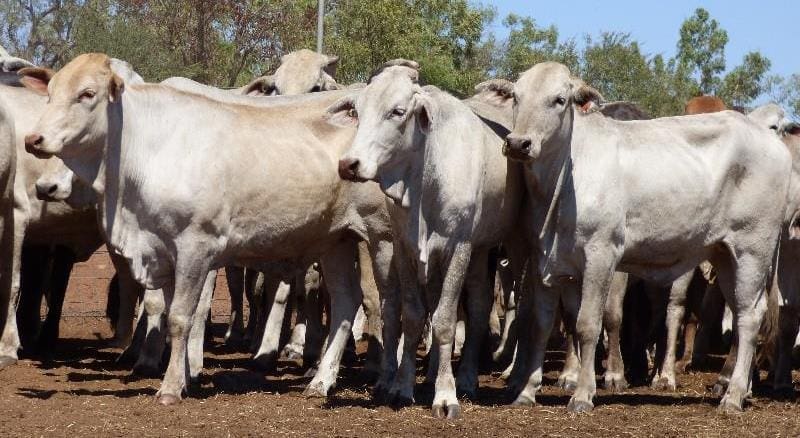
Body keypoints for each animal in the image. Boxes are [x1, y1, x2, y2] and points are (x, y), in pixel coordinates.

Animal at [18, 54, 394, 404]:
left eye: (87, 94)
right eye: (50, 93)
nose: (34, 139)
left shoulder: (197, 247)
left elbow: (182, 316)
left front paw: (171, 387)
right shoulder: (161, 248)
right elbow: (163, 309)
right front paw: (181, 374)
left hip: (380, 237)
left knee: (383, 301)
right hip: (337, 240)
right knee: (346, 301)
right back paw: (320, 381)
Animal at [336, 59, 528, 418]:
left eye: (398, 111)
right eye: (357, 110)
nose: (349, 164)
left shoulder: (459, 248)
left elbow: (445, 320)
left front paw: (446, 395)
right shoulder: (405, 247)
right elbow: (414, 316)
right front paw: (402, 387)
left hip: (501, 249)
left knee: (483, 308)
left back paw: (469, 378)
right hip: (476, 253)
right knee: (471, 304)